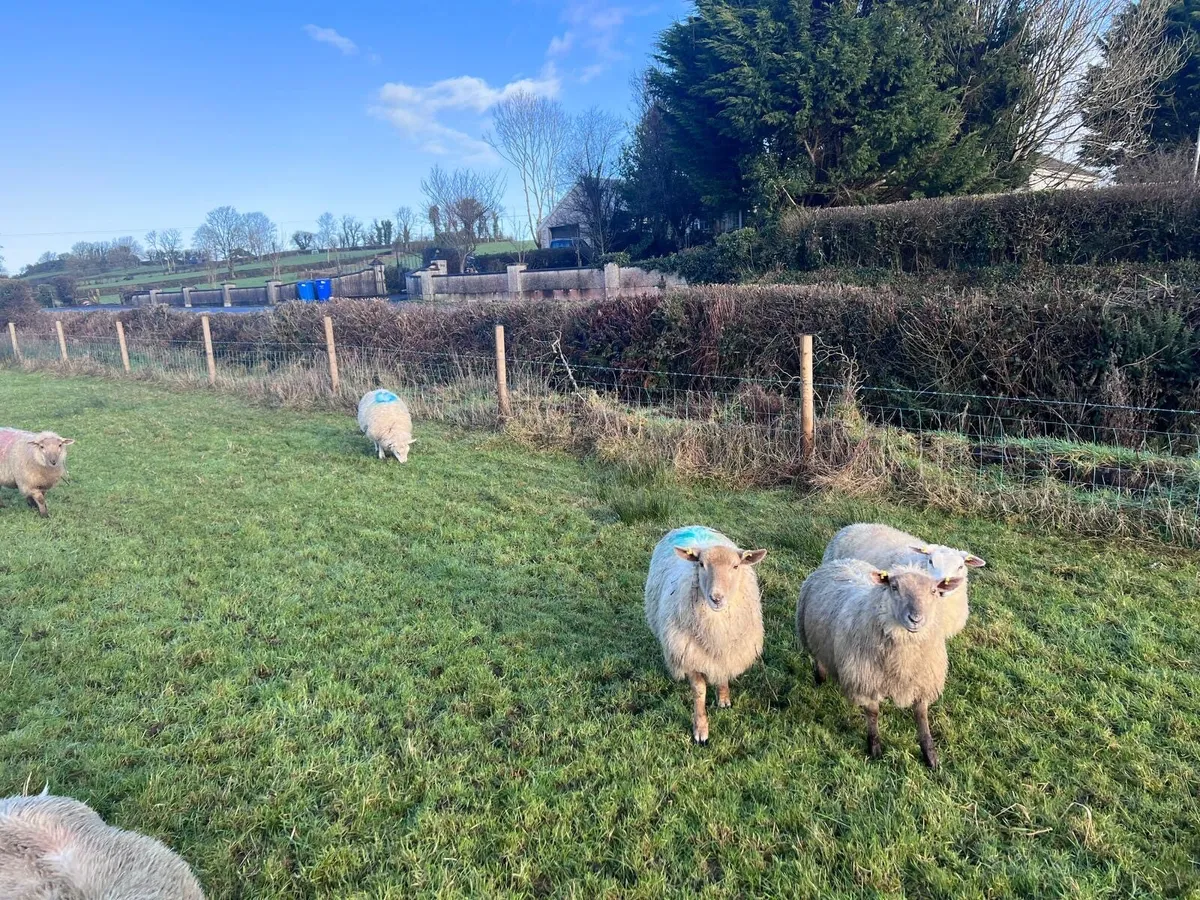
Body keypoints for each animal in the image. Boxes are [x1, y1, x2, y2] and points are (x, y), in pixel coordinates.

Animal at [644, 525, 768, 743]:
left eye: (736, 566)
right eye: (701, 564)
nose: (716, 598)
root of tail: (690, 526)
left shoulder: (727, 652)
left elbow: (723, 675)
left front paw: (724, 698)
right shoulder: (690, 656)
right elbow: (699, 692)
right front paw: (701, 730)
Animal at [797, 559, 959, 768]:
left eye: (933, 591)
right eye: (894, 587)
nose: (915, 619)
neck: (902, 659)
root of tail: (841, 561)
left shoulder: (922, 682)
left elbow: (922, 716)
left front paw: (930, 755)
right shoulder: (867, 680)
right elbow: (873, 714)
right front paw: (874, 747)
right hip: (812, 638)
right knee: (818, 659)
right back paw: (820, 678)